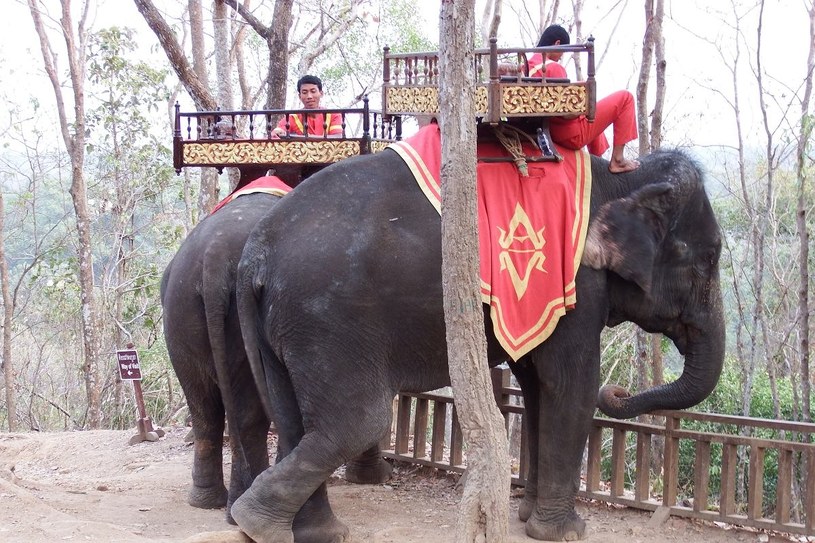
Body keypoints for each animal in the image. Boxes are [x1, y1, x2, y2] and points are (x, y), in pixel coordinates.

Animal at [162, 174, 392, 524]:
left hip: (180, 314)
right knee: (246, 413)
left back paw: (209, 501)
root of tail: (214, 255)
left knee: (205, 408)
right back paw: (237, 509)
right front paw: (373, 477)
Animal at [231, 144, 728, 543]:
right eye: (709, 258)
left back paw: (310, 532)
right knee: (357, 423)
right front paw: (565, 533)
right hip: (328, 320)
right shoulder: (574, 282)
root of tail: (255, 252)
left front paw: (528, 517)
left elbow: (537, 386)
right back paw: (257, 523)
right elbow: (571, 384)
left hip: (284, 325)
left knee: (291, 419)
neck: (622, 175)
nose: (619, 391)